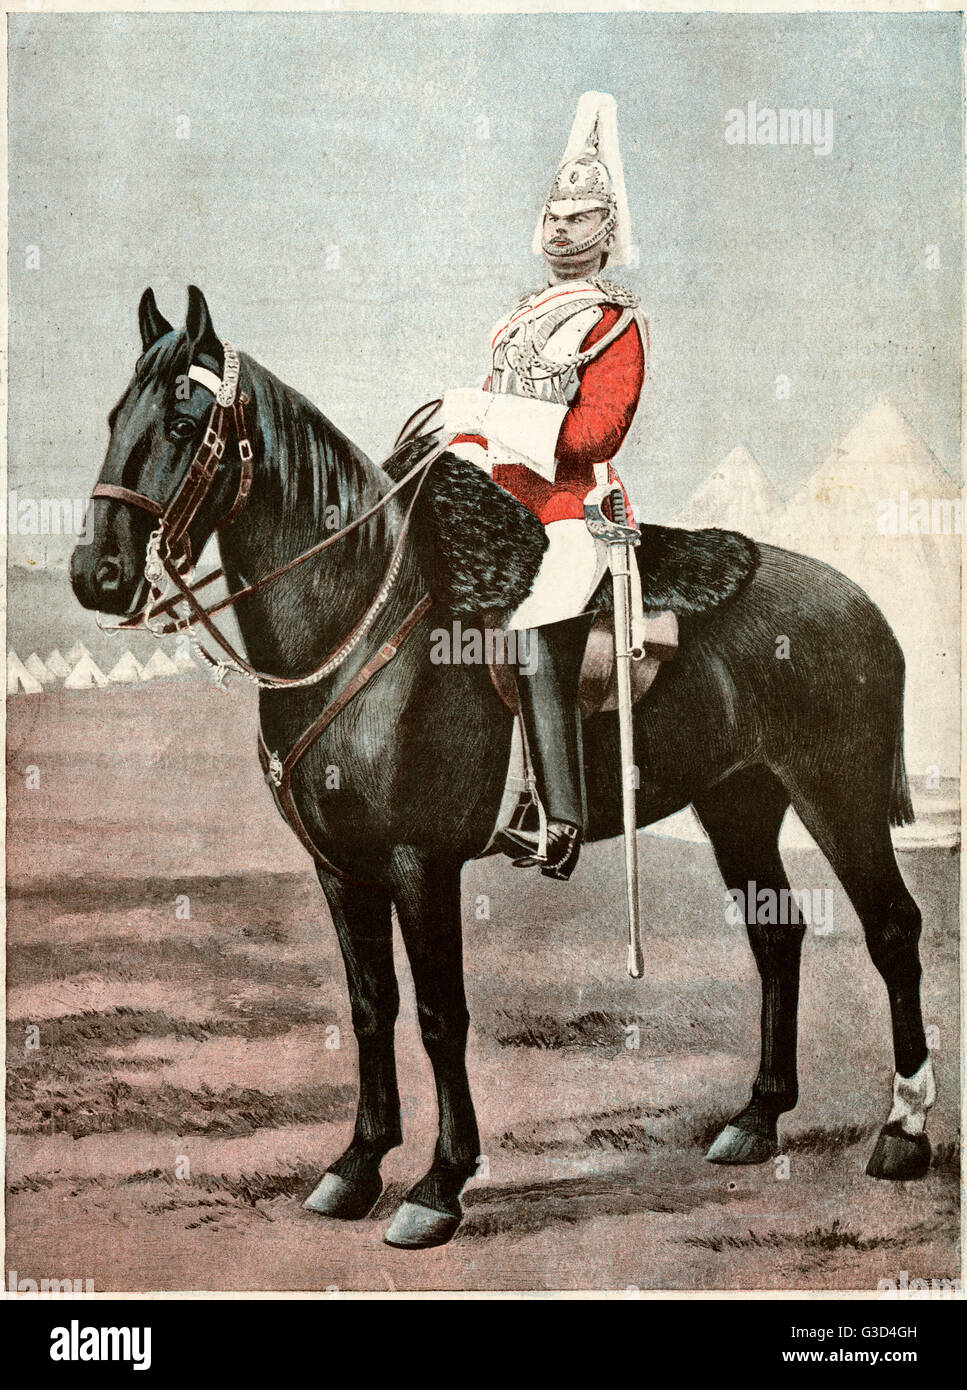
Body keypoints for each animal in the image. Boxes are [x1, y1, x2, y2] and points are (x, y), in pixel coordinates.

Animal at [71, 290, 933, 1251]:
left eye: (184, 423)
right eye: (115, 417)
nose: (96, 575)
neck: (359, 618)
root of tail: (861, 605)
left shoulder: (420, 865)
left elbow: (440, 1017)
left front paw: (439, 1185)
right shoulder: (341, 869)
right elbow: (370, 1008)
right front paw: (356, 1165)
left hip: (835, 797)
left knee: (892, 930)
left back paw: (903, 1132)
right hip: (737, 803)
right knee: (774, 935)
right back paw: (755, 1119)